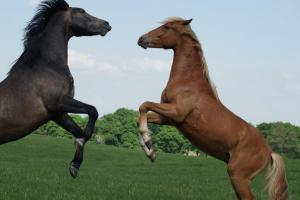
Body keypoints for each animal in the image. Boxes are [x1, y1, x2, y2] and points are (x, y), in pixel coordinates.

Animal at [0, 0, 111, 178]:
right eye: (82, 11)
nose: (106, 24)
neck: (48, 66)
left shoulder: (57, 113)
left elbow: (77, 131)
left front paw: (74, 166)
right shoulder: (58, 103)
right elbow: (93, 111)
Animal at [138, 18, 288, 199]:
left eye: (166, 27)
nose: (141, 39)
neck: (188, 83)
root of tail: (269, 152)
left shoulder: (176, 113)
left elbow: (144, 105)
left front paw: (148, 144)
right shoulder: (168, 119)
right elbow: (141, 116)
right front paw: (150, 151)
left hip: (238, 176)